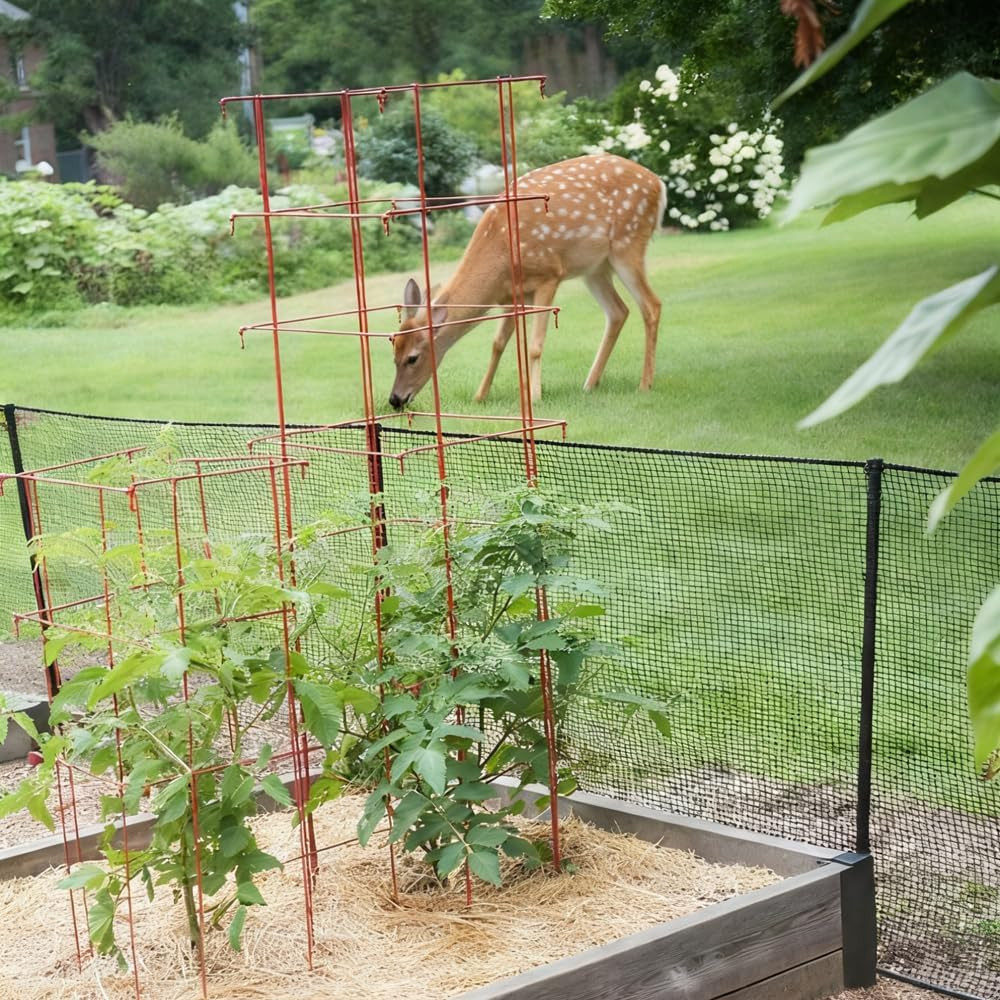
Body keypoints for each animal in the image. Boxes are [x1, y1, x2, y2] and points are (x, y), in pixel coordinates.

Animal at [388, 153, 665, 410]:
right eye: (394, 353)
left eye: (413, 357)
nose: (395, 399)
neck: (500, 255)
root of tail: (659, 183)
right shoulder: (510, 297)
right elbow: (498, 344)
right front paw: (480, 396)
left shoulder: (549, 275)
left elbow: (534, 345)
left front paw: (534, 396)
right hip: (595, 267)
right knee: (618, 311)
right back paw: (589, 384)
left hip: (628, 243)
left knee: (651, 305)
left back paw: (645, 384)